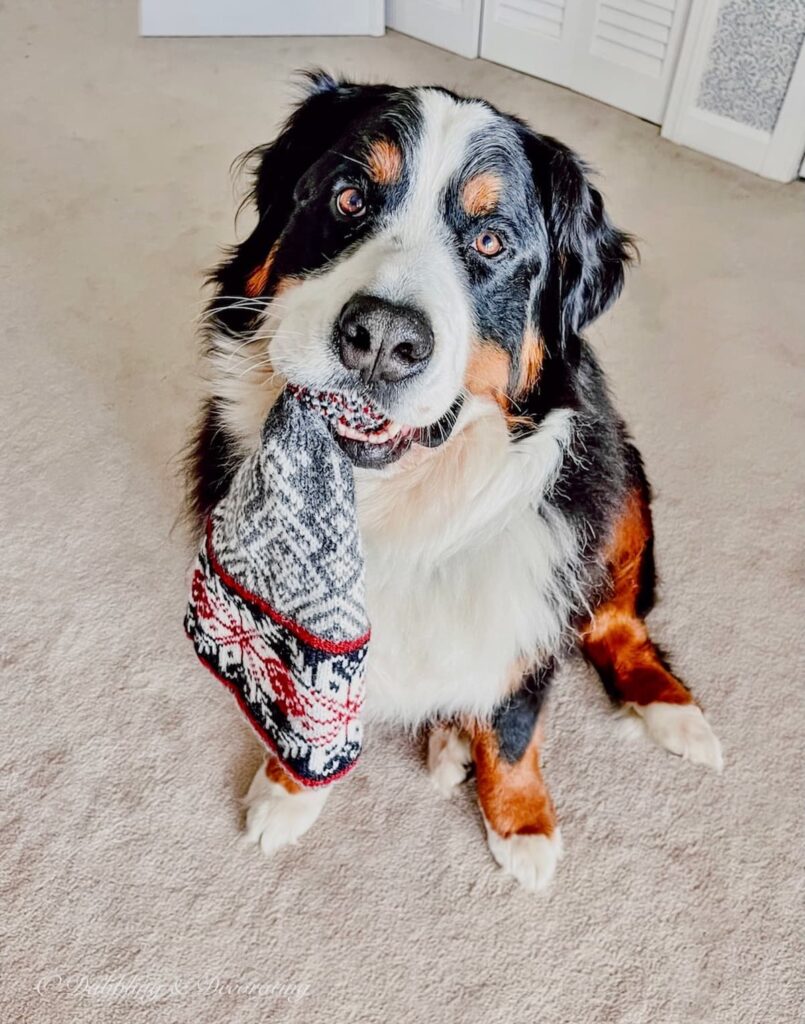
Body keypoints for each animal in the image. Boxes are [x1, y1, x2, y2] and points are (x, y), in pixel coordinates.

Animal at [188, 70, 721, 888]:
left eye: (490, 241)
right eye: (348, 197)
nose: (382, 338)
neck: (399, 510)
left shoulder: (537, 590)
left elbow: (514, 725)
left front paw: (523, 824)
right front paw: (287, 791)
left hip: (620, 492)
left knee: (617, 624)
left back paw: (671, 712)